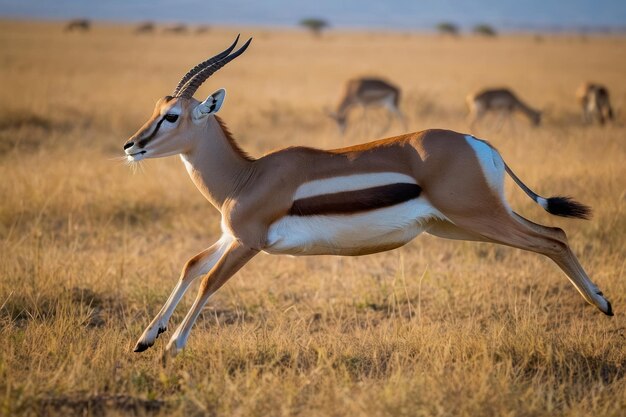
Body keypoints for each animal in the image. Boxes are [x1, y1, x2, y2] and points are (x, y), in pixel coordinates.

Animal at [122, 35, 608, 356]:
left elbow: (209, 281)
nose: (131, 145)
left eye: (172, 116)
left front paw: (173, 347)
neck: (246, 176)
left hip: (481, 218)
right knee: (555, 232)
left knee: (552, 238)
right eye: (155, 109)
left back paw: (601, 304)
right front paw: (145, 338)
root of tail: (480, 142)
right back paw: (601, 302)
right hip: (463, 224)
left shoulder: (248, 242)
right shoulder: (230, 235)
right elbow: (191, 265)